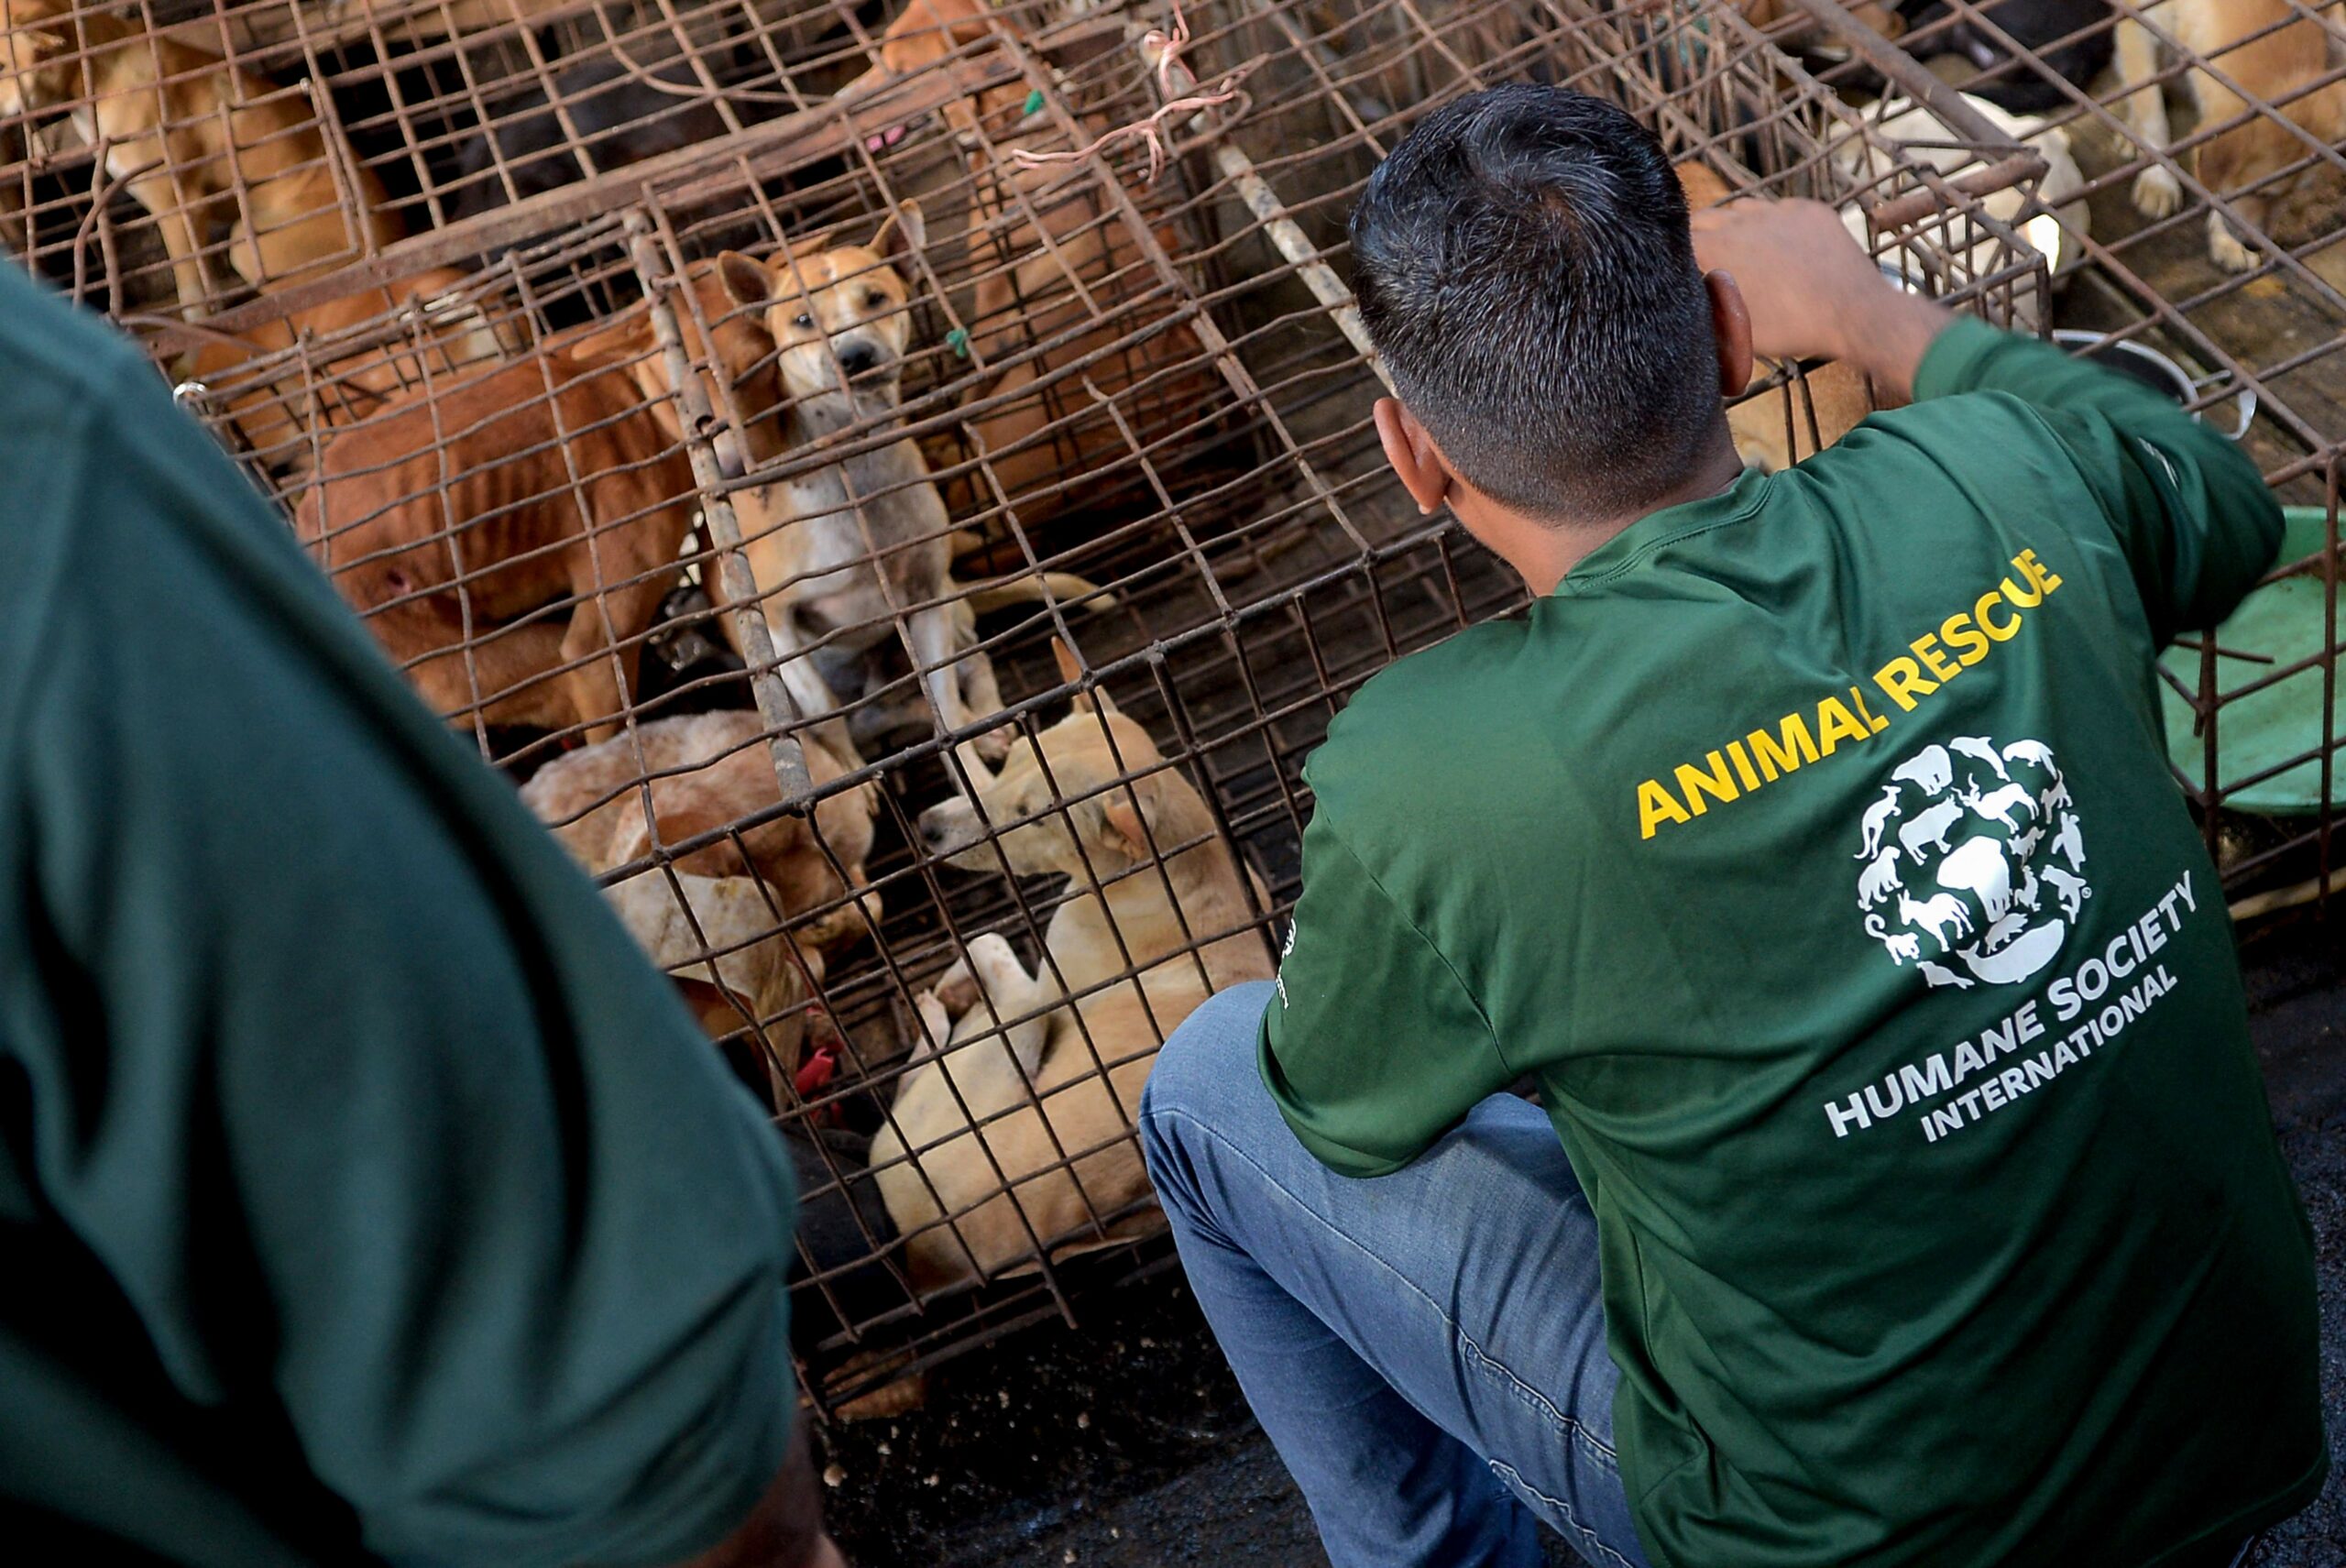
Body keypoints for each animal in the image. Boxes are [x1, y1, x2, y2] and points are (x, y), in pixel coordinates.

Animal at [877, 642, 1285, 1295]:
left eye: (1031, 817)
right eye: (1013, 758)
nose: (928, 828)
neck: (1176, 869)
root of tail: (928, 1250)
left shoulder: (1047, 980)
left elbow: (989, 944)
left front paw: (956, 982)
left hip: (989, 1049)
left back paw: (940, 1010)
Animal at [2121, 0, 2336, 269]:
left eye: (2290, 194)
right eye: (2258, 191)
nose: (2253, 245)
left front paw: (2226, 240)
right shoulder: (2138, 26)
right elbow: (2152, 117)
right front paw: (2158, 181)